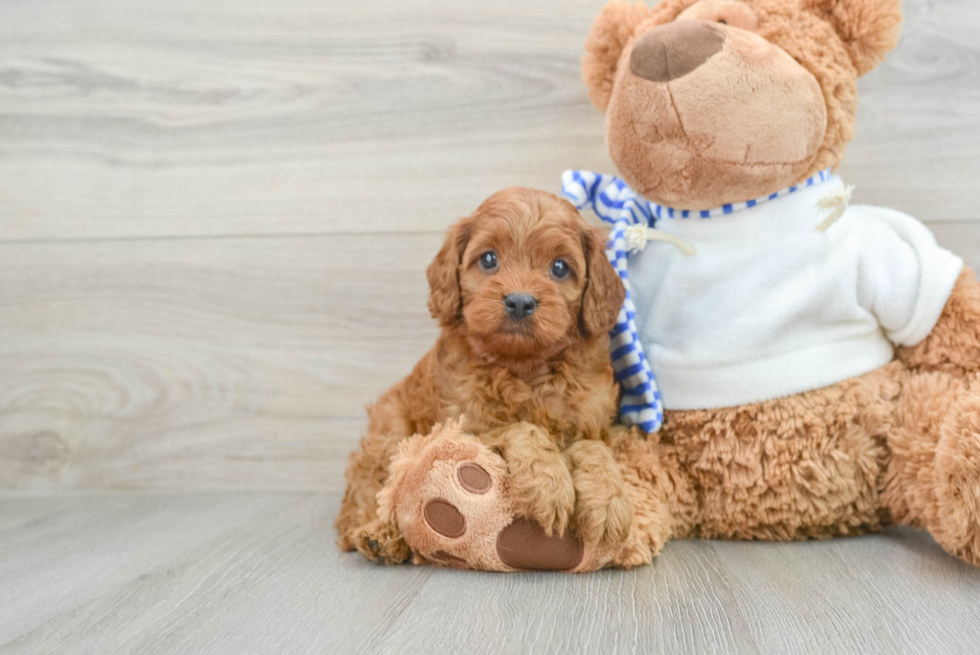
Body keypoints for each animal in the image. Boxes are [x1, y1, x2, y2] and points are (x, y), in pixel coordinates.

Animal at [336, 186, 632, 564]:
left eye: (560, 267)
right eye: (489, 259)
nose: (519, 301)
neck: (523, 367)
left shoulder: (595, 423)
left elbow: (595, 449)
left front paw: (609, 504)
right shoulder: (465, 426)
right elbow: (519, 428)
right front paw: (549, 484)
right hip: (390, 430)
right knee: (366, 494)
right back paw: (379, 534)